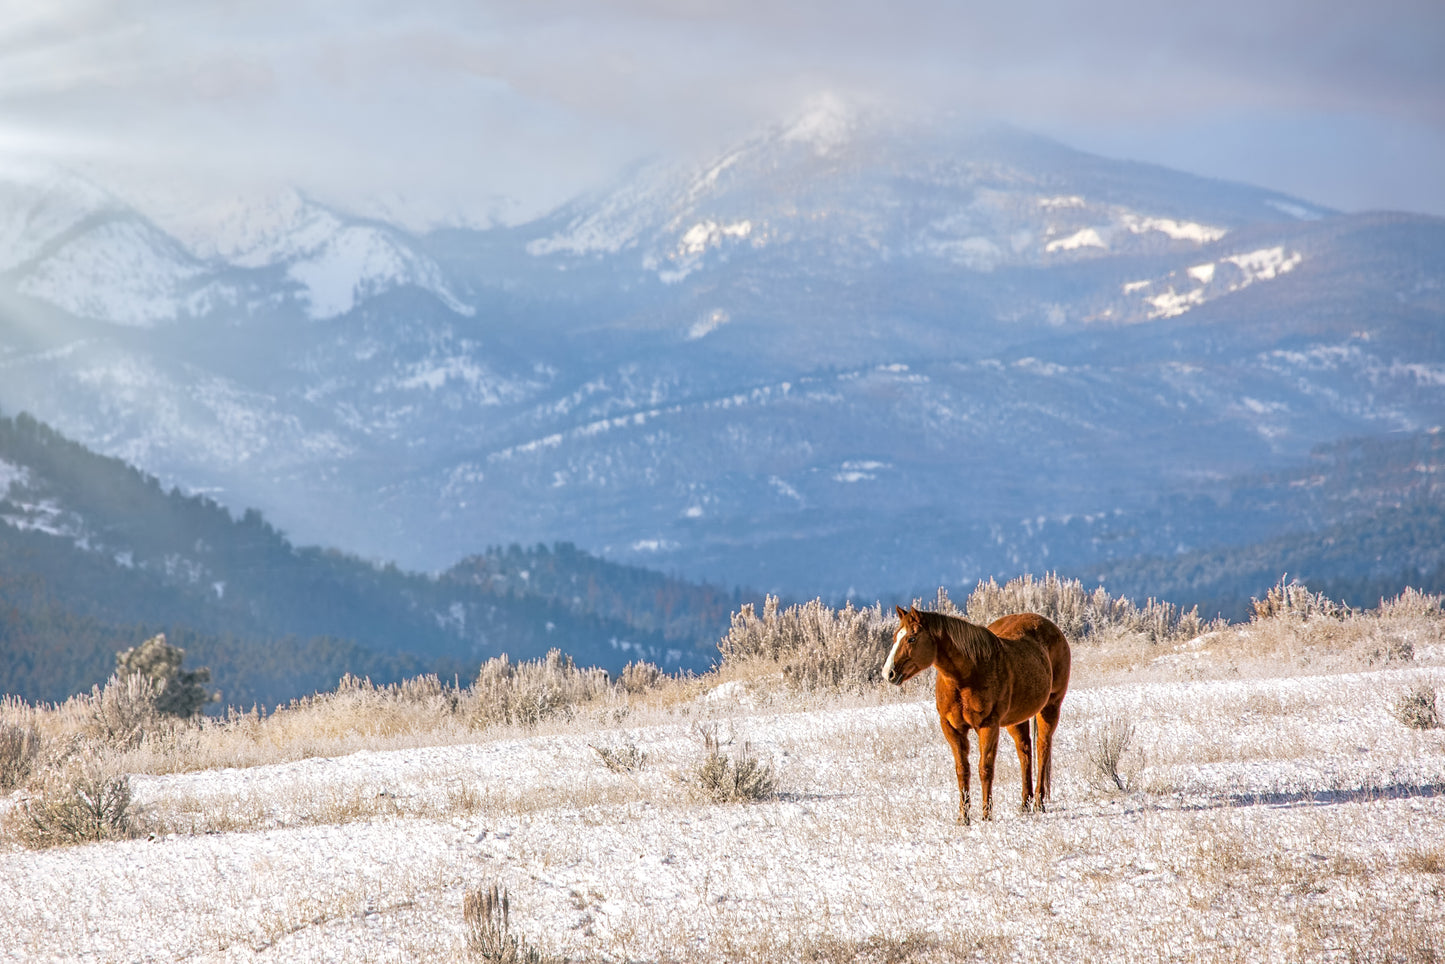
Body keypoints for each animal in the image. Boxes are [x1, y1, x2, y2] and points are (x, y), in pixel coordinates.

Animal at [878, 607, 1075, 826]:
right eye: (895, 637)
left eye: (911, 638)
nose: (888, 673)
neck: (966, 675)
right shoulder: (952, 728)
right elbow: (962, 770)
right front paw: (963, 817)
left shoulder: (988, 725)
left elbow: (985, 768)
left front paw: (986, 815)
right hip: (1017, 719)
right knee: (1025, 752)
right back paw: (1025, 803)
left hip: (1050, 707)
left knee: (1042, 749)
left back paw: (1039, 803)